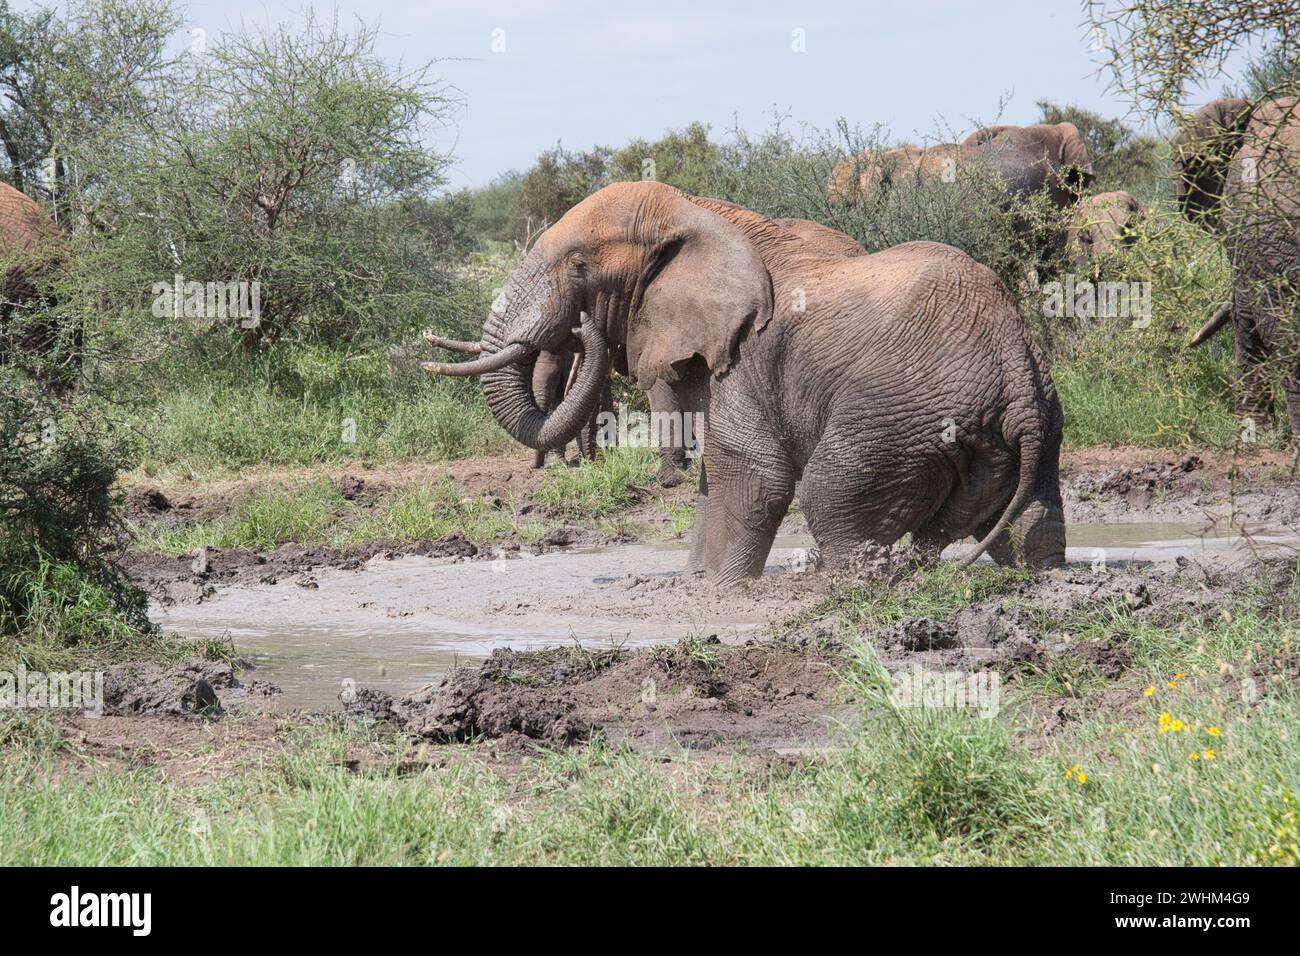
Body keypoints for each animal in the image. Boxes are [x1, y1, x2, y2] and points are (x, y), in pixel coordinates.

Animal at [423, 182, 1064, 584]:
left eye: (579, 266)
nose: (581, 326)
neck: (695, 212)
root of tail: (1015, 367)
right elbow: (717, 475)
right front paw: (696, 585)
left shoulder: (747, 355)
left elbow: (752, 471)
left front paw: (722, 593)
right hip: (1031, 423)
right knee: (1030, 519)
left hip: (901, 416)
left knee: (832, 499)